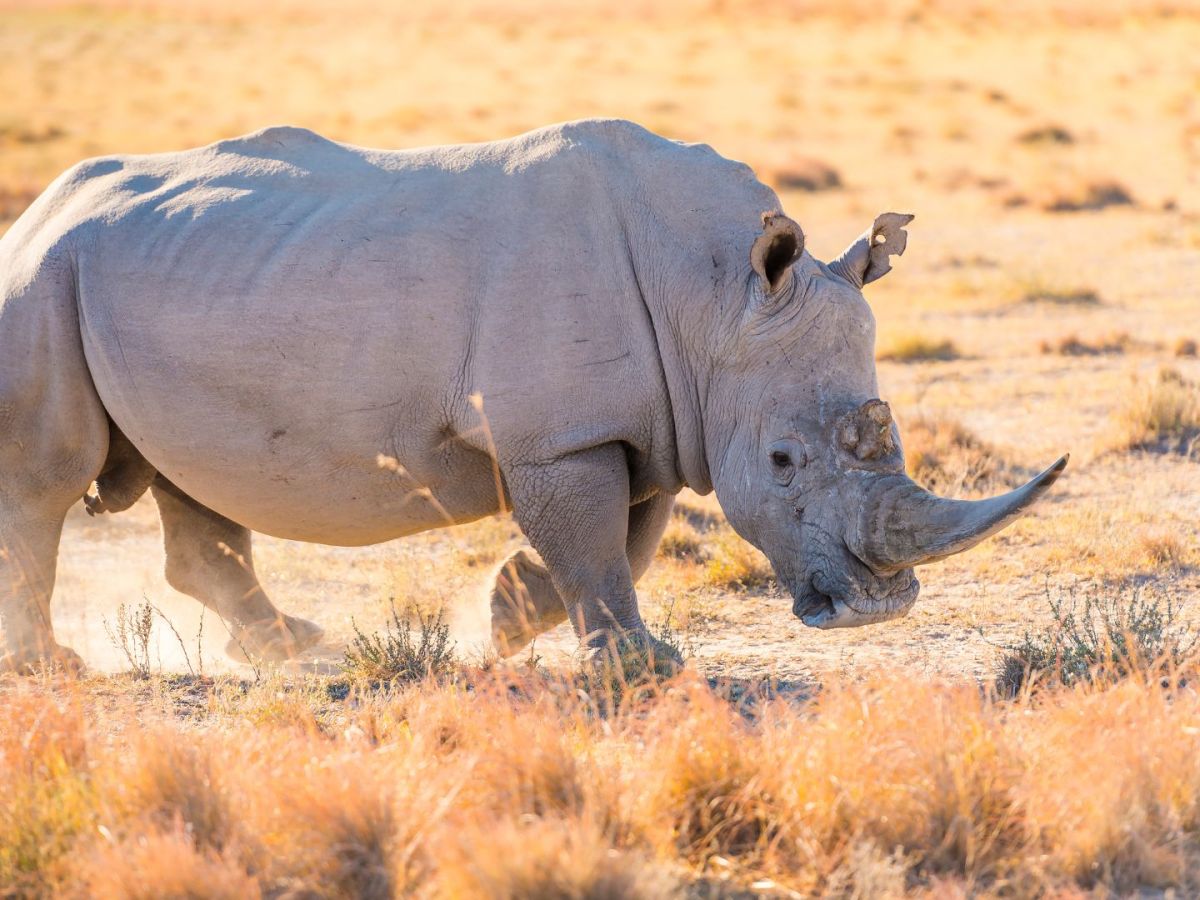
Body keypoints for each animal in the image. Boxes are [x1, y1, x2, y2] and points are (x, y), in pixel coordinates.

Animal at [0, 119, 1067, 673]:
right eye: (781, 462)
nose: (873, 613)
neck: (714, 296)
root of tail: (40, 207)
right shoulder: (565, 434)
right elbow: (596, 543)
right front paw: (642, 670)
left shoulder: (642, 424)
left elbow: (623, 539)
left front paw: (508, 621)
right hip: (44, 277)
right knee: (45, 482)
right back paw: (53, 670)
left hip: (152, 281)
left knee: (191, 479)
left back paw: (291, 648)